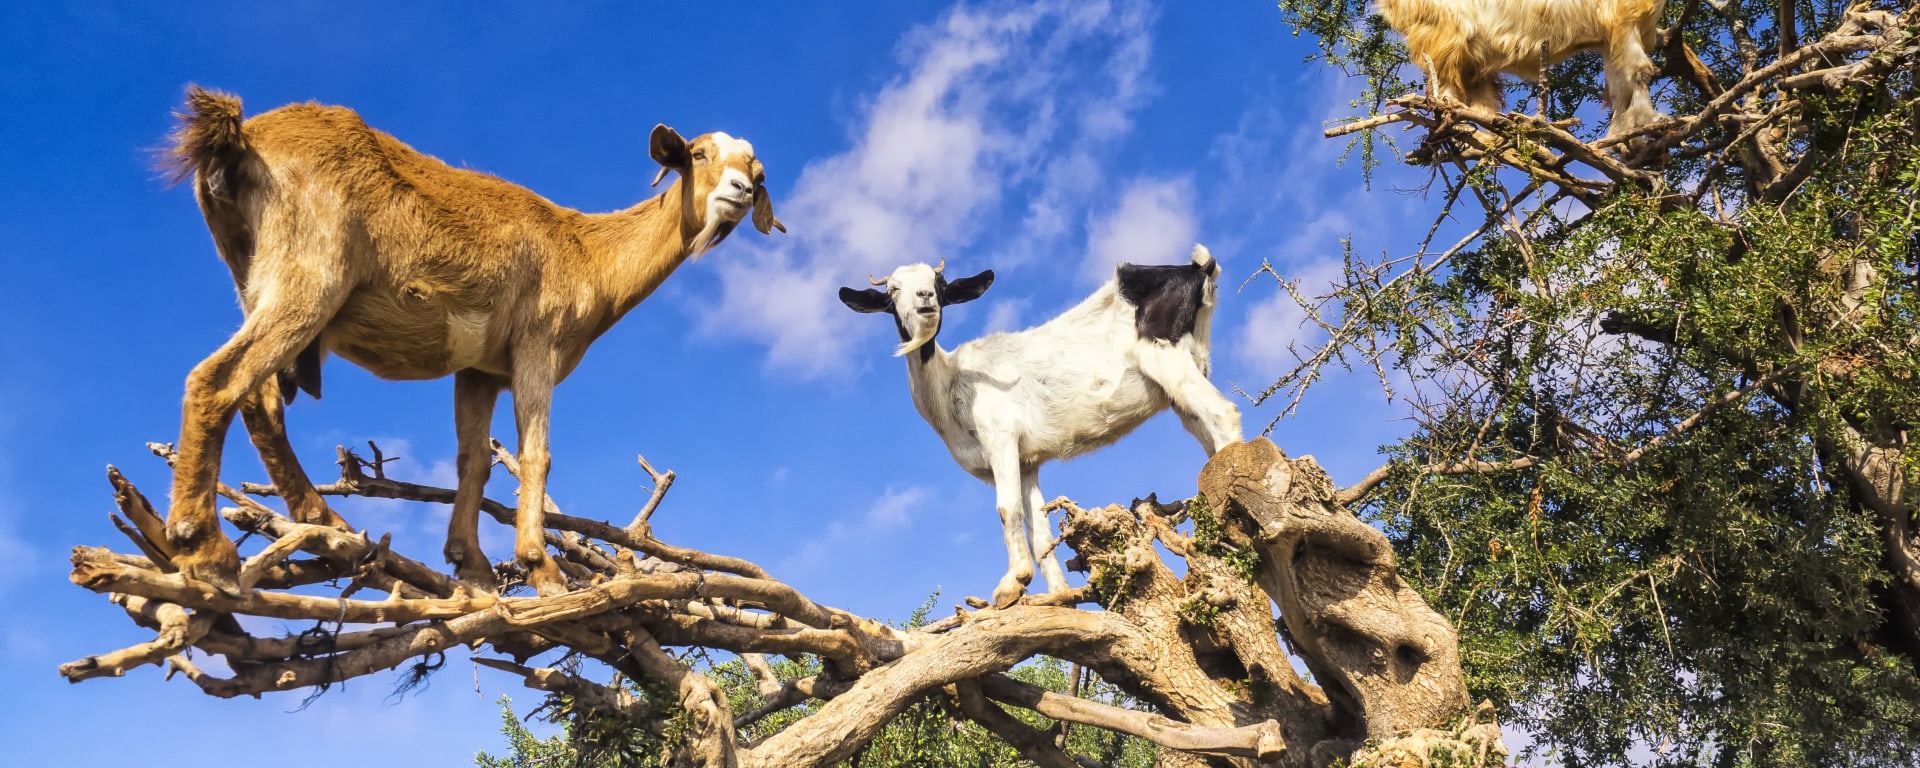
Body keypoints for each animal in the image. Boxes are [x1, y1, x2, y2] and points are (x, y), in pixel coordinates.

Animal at [158, 85, 784, 596]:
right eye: (698, 154)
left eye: (756, 172)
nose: (739, 190)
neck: (588, 254)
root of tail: (239, 138)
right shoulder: (537, 343)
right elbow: (536, 454)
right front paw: (541, 567)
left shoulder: (479, 369)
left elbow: (474, 460)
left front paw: (471, 563)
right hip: (308, 272)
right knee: (217, 378)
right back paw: (204, 548)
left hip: (253, 279)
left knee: (260, 401)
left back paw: (324, 522)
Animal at [839, 246, 1243, 608]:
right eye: (893, 290)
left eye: (938, 284)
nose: (925, 298)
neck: (950, 381)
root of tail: (1198, 269)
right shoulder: (1027, 461)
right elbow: (1038, 526)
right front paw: (1058, 594)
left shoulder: (1001, 436)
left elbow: (1007, 509)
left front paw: (1012, 583)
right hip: (1185, 378)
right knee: (1208, 435)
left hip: (1164, 355)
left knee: (1223, 413)